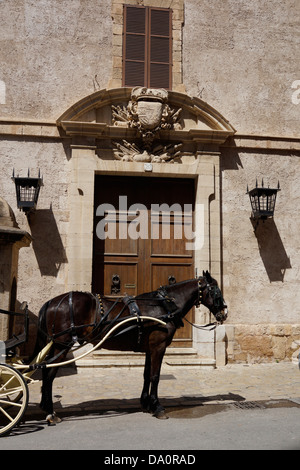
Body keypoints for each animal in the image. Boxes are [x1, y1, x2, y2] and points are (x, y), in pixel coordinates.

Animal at [31, 272, 226, 422]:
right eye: (216, 290)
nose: (224, 313)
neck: (164, 306)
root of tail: (52, 302)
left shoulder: (149, 348)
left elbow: (146, 375)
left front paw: (146, 403)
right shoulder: (159, 346)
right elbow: (155, 376)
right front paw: (157, 406)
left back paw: (47, 409)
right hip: (61, 346)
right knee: (49, 375)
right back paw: (50, 412)